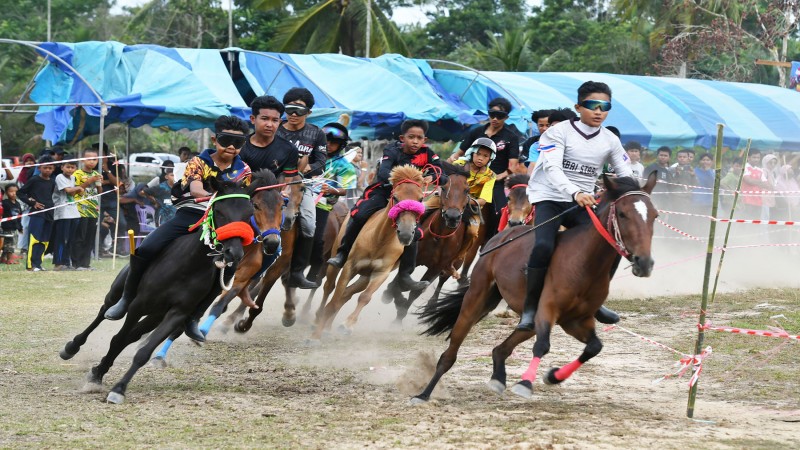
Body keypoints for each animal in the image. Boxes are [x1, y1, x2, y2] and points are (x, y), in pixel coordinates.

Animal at [62, 177, 256, 404]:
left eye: (249, 214)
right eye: (220, 211)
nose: (234, 253)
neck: (189, 265)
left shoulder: (176, 314)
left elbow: (142, 351)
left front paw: (118, 387)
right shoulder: (138, 305)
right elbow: (118, 339)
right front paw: (101, 375)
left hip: (155, 315)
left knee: (132, 336)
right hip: (119, 292)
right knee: (104, 312)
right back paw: (72, 347)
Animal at [310, 163, 428, 340]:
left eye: (420, 199)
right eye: (396, 197)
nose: (406, 233)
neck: (379, 240)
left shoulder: (380, 273)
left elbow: (364, 297)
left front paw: (347, 325)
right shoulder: (350, 266)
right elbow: (336, 294)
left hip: (365, 276)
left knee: (347, 294)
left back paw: (328, 326)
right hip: (335, 260)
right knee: (329, 287)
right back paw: (318, 318)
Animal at [412, 173, 656, 404]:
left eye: (654, 215)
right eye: (623, 214)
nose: (644, 262)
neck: (584, 261)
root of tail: (499, 239)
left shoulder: (576, 320)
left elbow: (594, 347)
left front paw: (554, 376)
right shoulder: (548, 310)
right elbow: (542, 346)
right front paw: (526, 383)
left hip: (526, 321)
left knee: (501, 349)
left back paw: (498, 379)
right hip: (476, 299)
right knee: (450, 353)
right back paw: (423, 394)